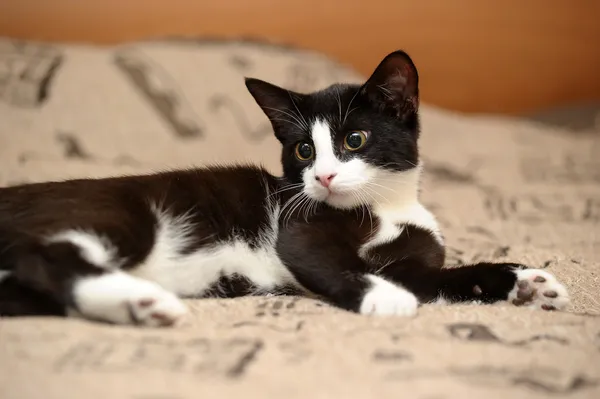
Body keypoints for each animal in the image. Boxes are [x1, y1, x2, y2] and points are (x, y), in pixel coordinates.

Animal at [0, 50, 568, 326]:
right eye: (303, 150)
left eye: (354, 139)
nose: (324, 176)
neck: (384, 206)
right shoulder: (301, 225)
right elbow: (324, 258)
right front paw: (384, 297)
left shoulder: (416, 260)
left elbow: (441, 279)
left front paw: (526, 281)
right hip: (116, 210)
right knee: (45, 255)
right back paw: (141, 301)